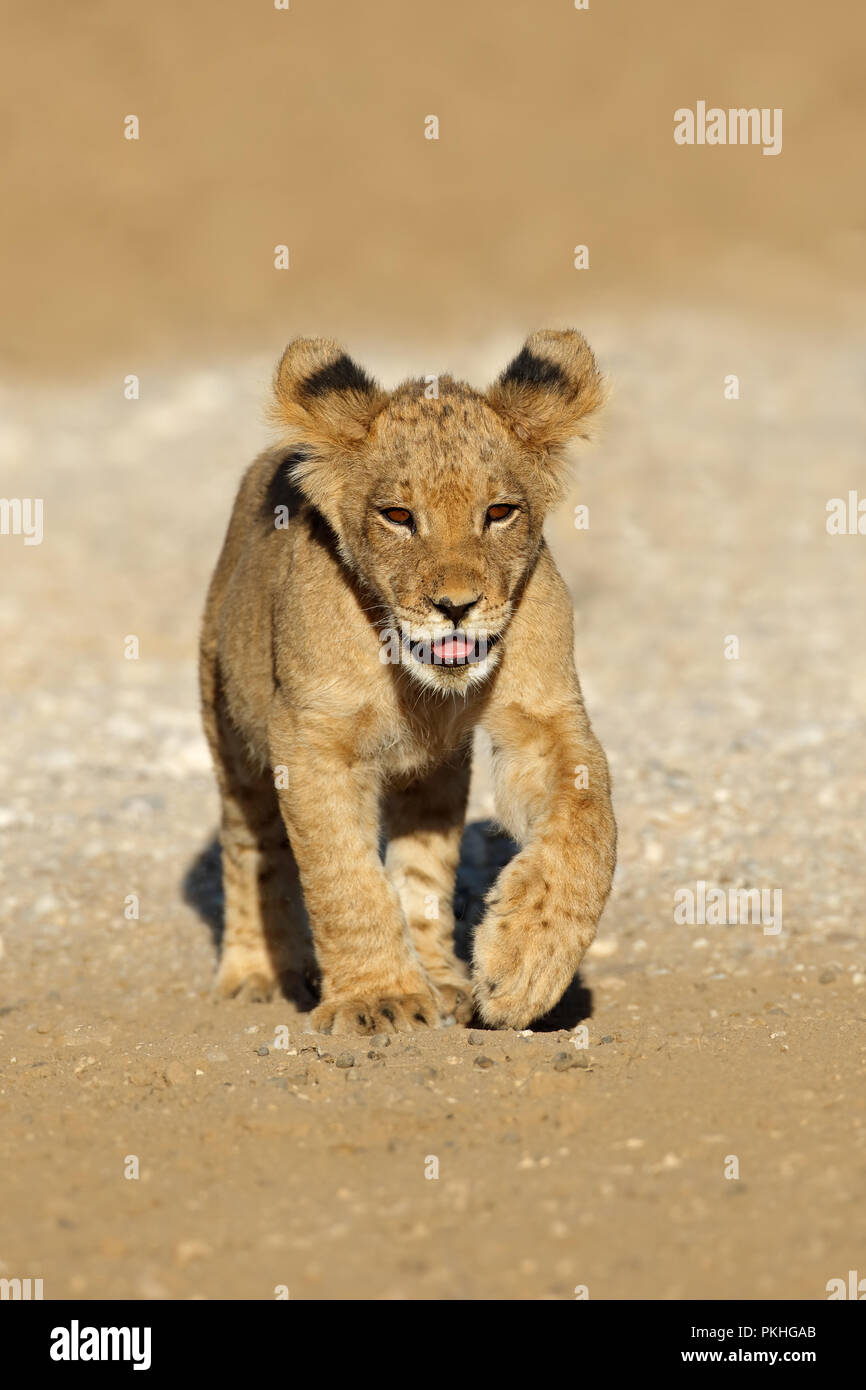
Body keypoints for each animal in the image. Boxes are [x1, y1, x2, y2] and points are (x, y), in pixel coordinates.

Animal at [199, 329, 616, 1034]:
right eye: (397, 515)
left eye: (499, 512)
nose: (455, 606)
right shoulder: (311, 740)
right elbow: (345, 878)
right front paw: (378, 999)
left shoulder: (545, 717)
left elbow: (590, 828)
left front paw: (526, 965)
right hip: (231, 737)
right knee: (250, 848)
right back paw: (253, 974)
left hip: (434, 777)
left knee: (423, 870)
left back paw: (443, 981)